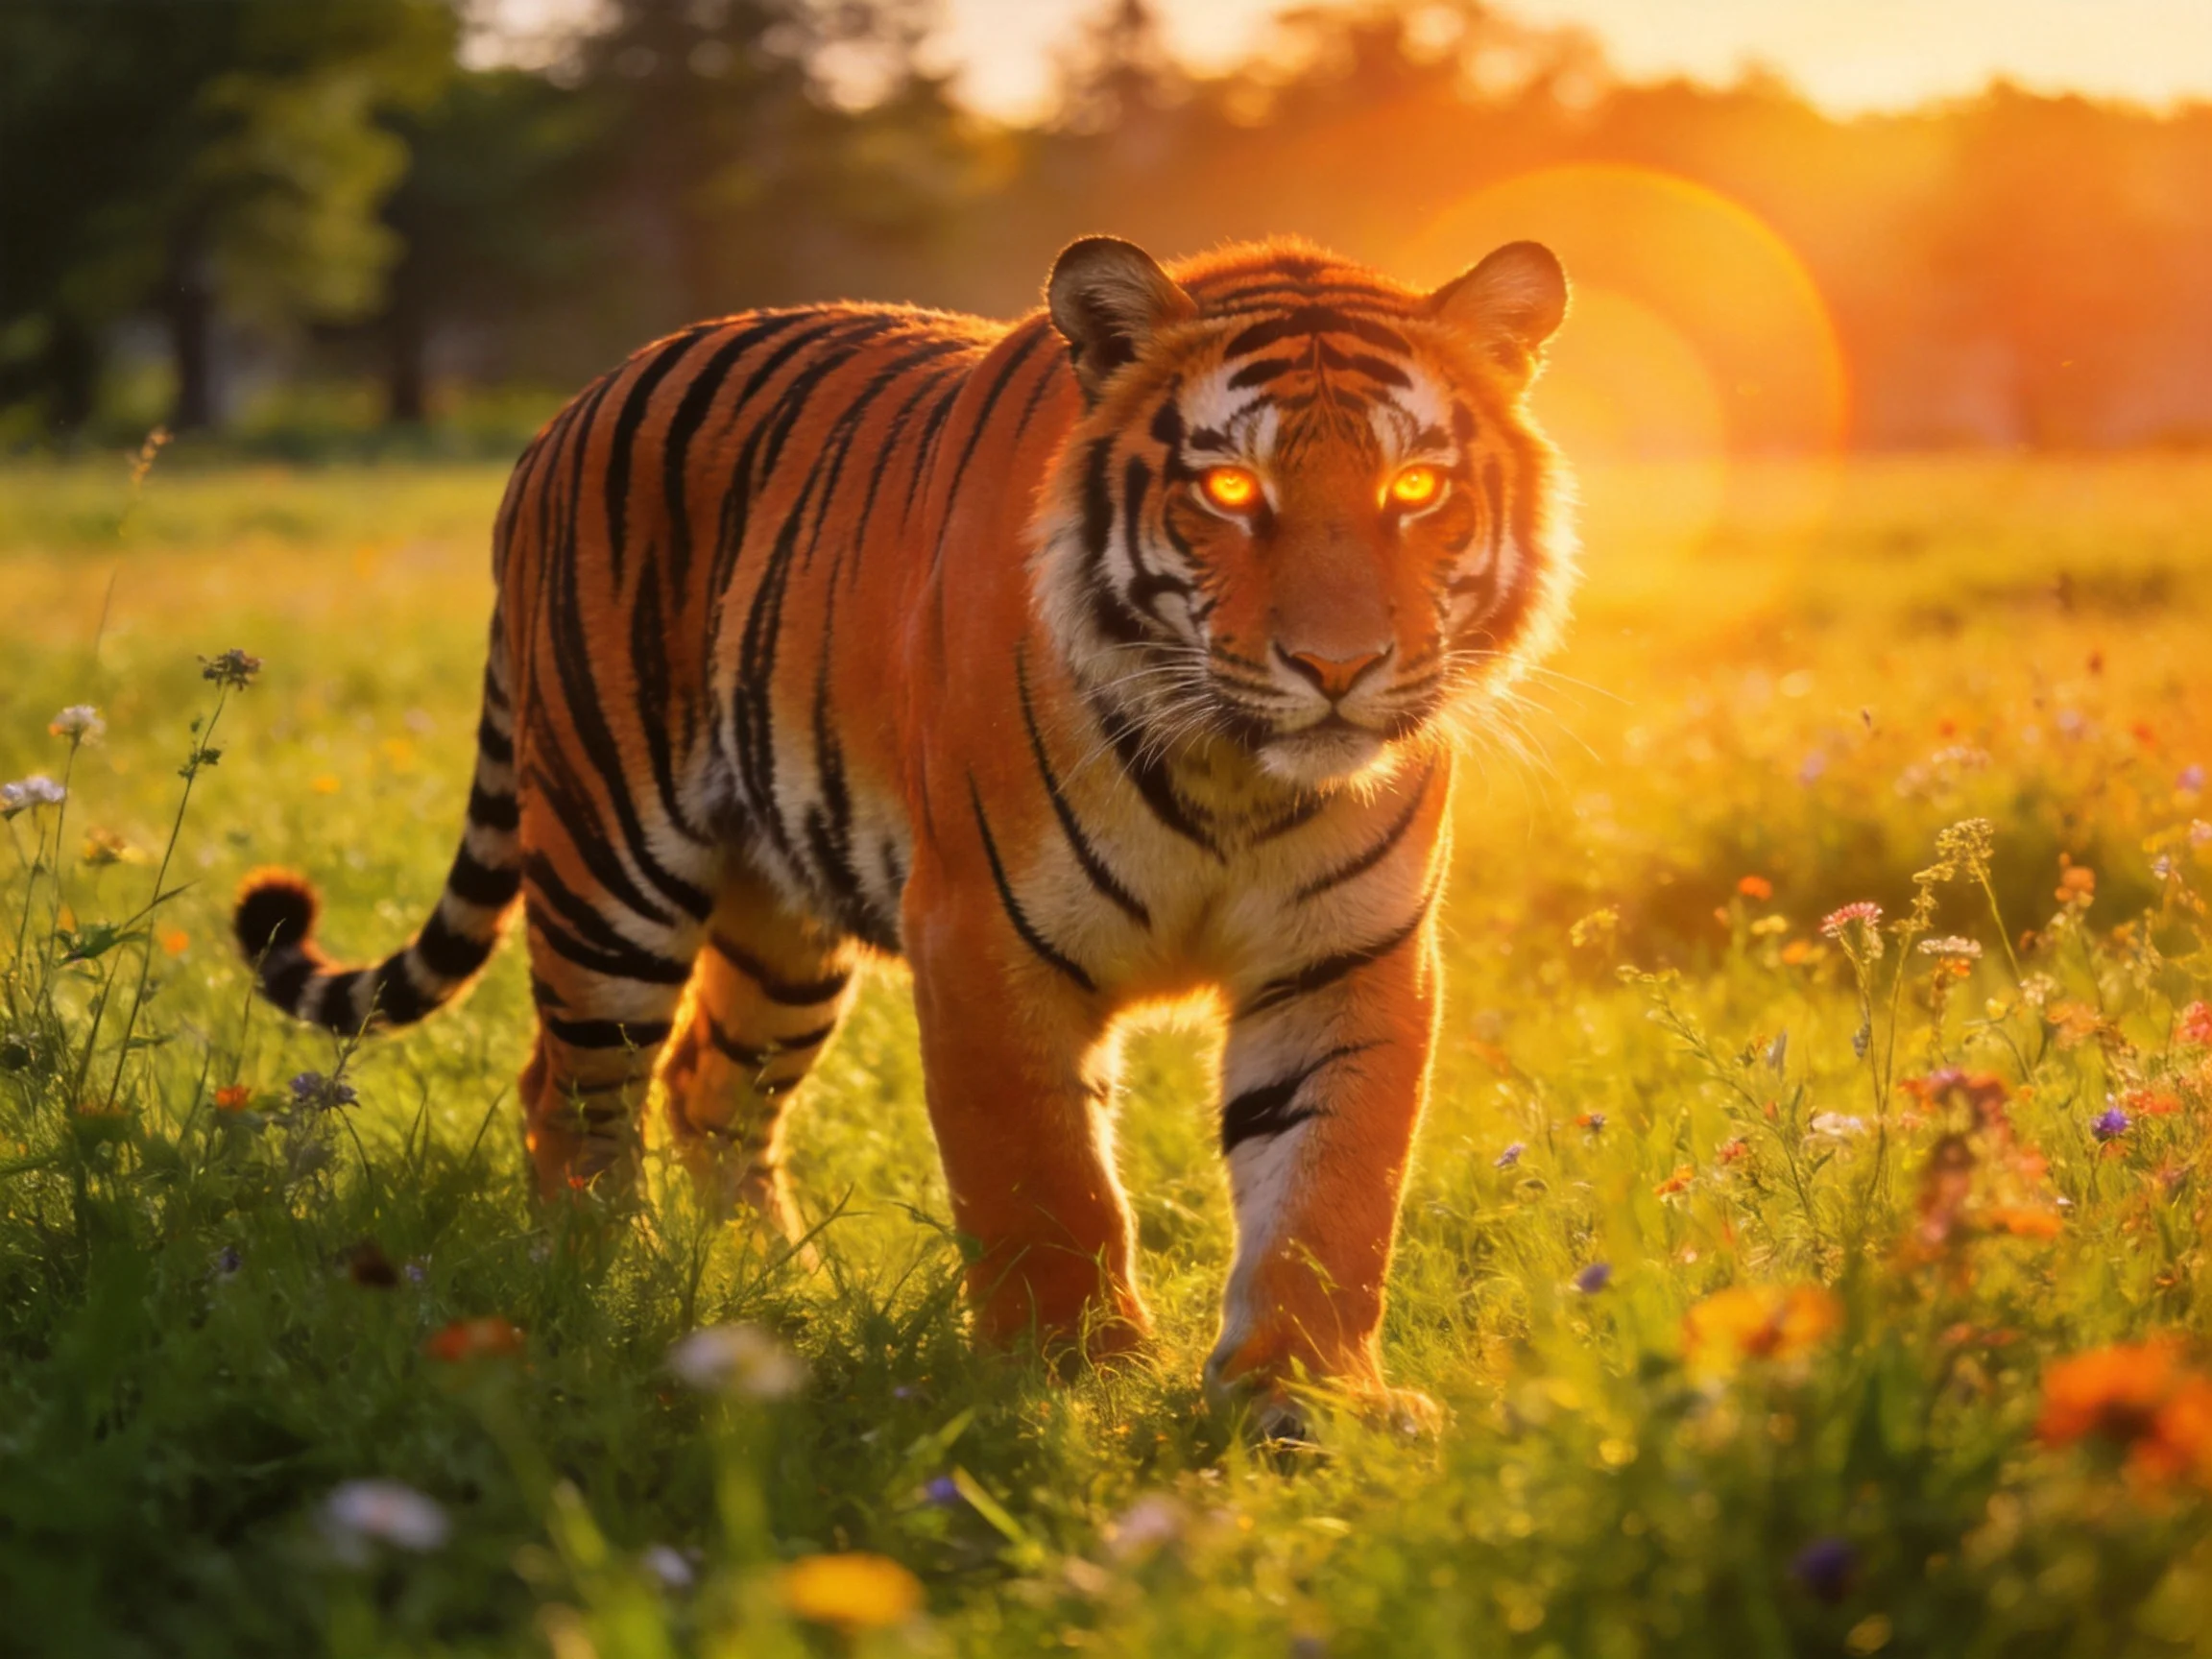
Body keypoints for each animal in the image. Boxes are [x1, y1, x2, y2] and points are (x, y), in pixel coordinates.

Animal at [233, 234, 1575, 1433]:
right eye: (1231, 489)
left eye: (1416, 489)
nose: (1339, 668)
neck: (1236, 779)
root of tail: (576, 403)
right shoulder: (987, 935)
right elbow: (1046, 1181)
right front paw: (1074, 1381)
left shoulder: (1348, 956)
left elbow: (1332, 1189)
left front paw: (1304, 1397)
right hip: (610, 869)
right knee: (573, 1087)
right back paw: (600, 1281)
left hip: (779, 930)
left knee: (710, 1087)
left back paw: (767, 1294)